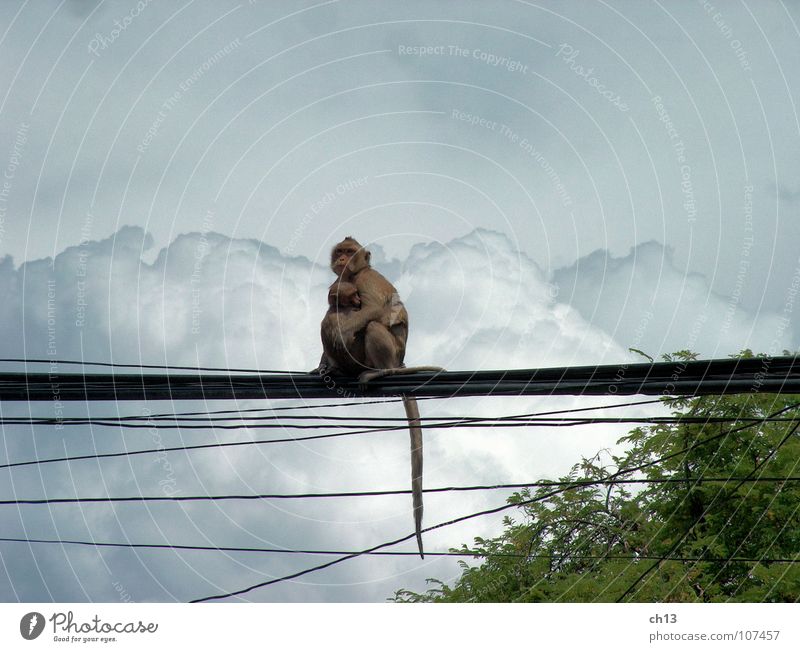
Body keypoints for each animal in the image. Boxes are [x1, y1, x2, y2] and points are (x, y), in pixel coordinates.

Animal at [312, 237, 444, 556]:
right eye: (340, 252)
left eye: (350, 252)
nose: (343, 259)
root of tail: (400, 362)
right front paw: (320, 365)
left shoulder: (365, 280)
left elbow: (372, 310)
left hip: (385, 354)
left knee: (370, 325)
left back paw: (378, 372)